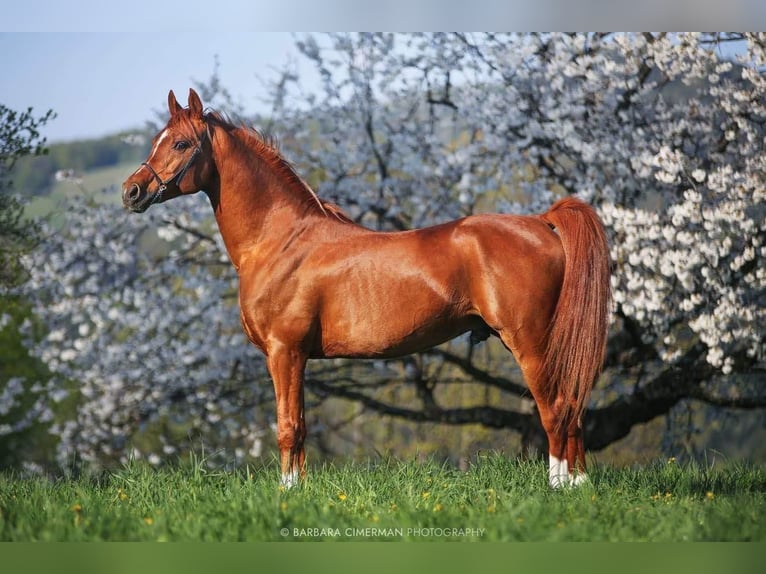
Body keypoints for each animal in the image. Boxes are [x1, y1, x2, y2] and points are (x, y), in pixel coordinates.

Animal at [121, 90, 612, 490]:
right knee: (573, 408)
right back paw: (579, 484)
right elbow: (300, 425)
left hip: (531, 342)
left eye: (181, 144)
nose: (132, 191)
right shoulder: (296, 357)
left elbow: (287, 426)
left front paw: (287, 494)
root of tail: (541, 222)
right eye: (157, 140)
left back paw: (559, 486)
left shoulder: (285, 351)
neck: (281, 240)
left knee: (557, 408)